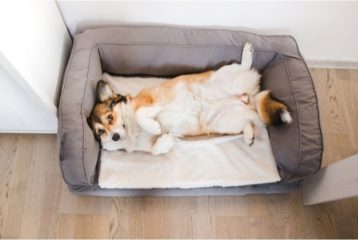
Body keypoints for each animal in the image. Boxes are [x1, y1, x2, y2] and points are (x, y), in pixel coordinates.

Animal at [88, 42, 292, 156]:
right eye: (100, 132)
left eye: (110, 117)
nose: (114, 137)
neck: (130, 131)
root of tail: (249, 97)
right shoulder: (146, 146)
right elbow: (155, 150)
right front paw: (165, 140)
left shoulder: (150, 99)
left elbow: (141, 114)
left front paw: (154, 126)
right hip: (224, 122)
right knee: (248, 122)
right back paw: (248, 134)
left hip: (224, 73)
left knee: (243, 65)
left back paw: (247, 53)